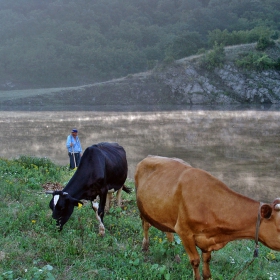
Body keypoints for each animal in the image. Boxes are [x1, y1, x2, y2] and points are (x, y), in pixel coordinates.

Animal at [134, 155, 280, 280]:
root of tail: (149, 157)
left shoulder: (208, 240)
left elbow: (207, 265)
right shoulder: (184, 231)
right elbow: (195, 261)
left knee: (167, 231)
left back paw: (174, 253)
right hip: (142, 207)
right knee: (145, 224)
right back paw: (145, 247)